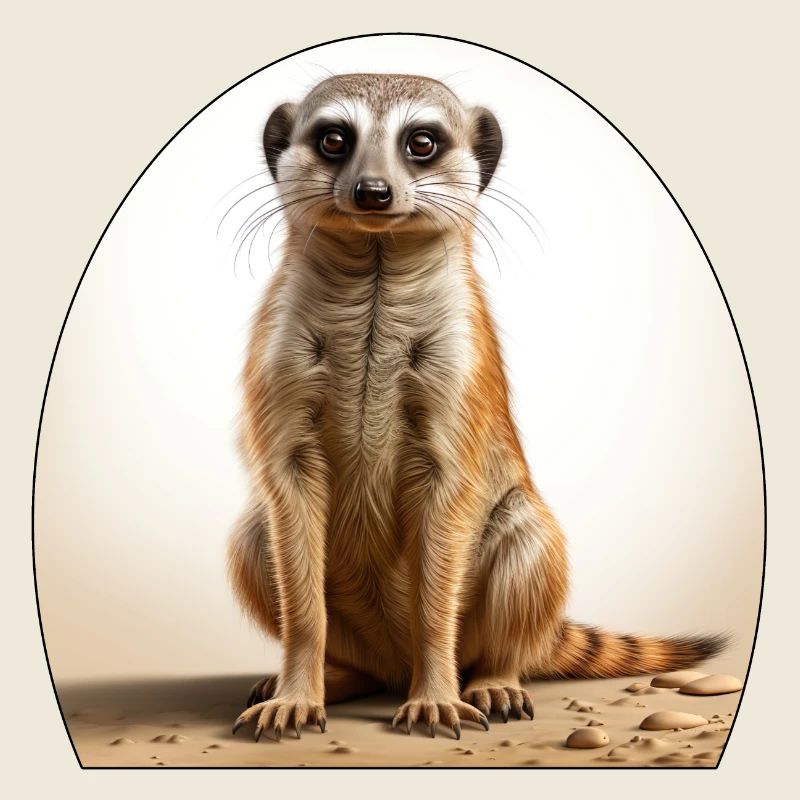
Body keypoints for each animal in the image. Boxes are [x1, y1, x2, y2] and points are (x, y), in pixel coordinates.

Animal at [226, 73, 726, 743]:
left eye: (422, 142)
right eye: (333, 139)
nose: (372, 192)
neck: (375, 272)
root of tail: (393, 662)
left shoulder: (459, 369)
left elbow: (444, 540)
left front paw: (437, 698)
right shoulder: (279, 359)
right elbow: (293, 532)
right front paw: (294, 698)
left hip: (524, 545)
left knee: (524, 562)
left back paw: (493, 682)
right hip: (285, 569)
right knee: (257, 539)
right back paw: (336, 677)